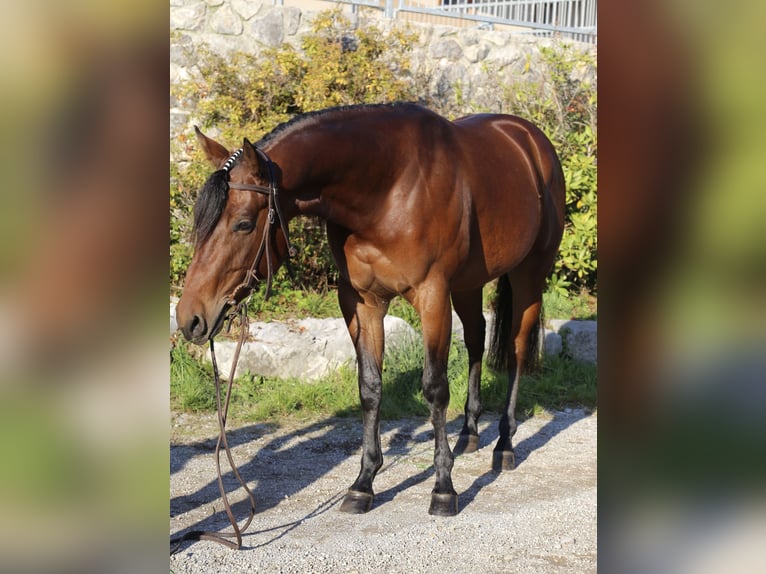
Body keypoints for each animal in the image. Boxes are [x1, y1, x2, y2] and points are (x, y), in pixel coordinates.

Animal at [175, 102, 565, 516]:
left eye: (244, 224)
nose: (190, 318)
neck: (389, 189)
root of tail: (529, 139)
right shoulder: (361, 301)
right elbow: (370, 387)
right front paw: (364, 483)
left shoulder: (432, 296)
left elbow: (435, 389)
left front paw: (443, 488)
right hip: (469, 282)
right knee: (476, 338)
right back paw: (469, 433)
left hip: (529, 274)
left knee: (516, 349)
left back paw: (504, 445)